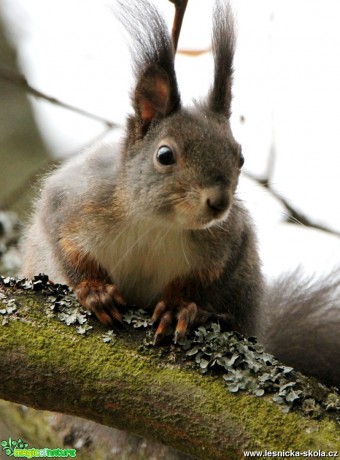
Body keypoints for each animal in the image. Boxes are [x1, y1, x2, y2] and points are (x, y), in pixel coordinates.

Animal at [21, 0, 340, 388]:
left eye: (240, 157)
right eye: (164, 155)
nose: (219, 202)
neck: (158, 224)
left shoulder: (229, 241)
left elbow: (203, 280)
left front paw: (177, 307)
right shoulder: (73, 201)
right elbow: (65, 246)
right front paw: (94, 290)